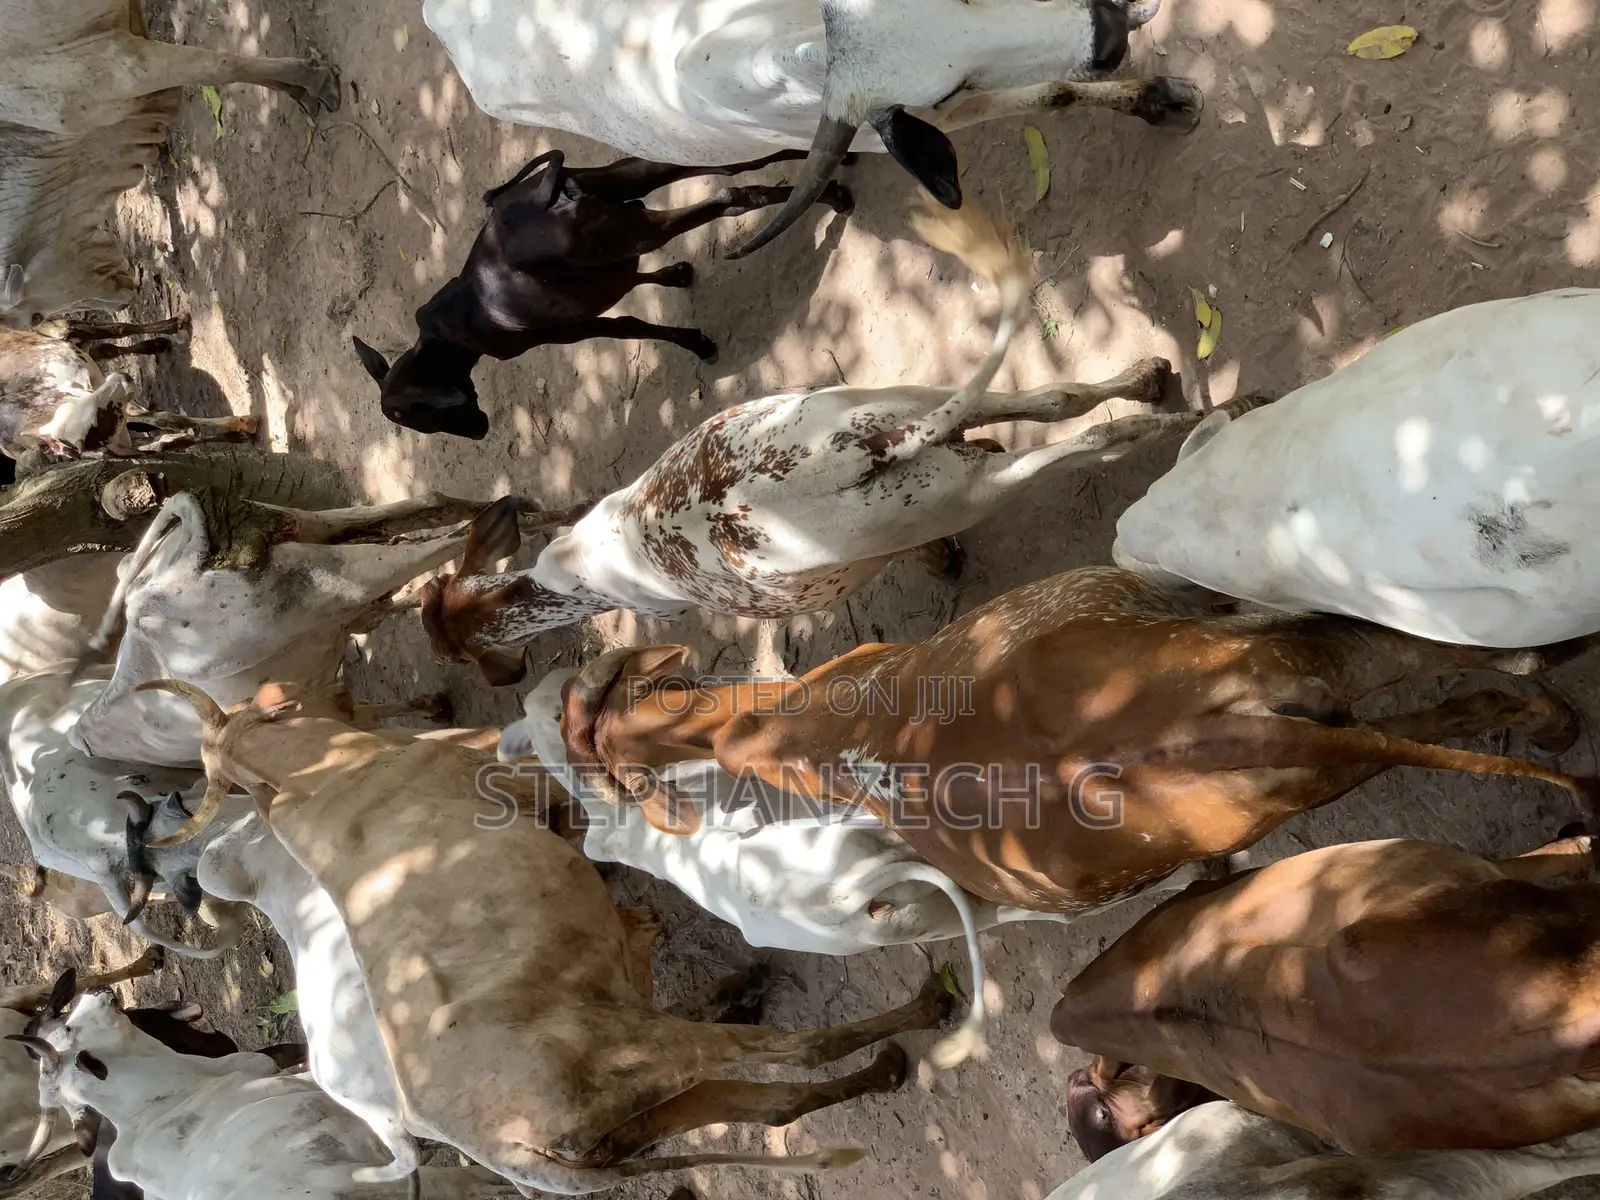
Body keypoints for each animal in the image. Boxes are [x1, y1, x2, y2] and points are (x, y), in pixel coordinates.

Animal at [1, 0, 340, 329]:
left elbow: (225, 67)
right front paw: (299, 91)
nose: (121, 303)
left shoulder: (126, 65)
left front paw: (315, 80)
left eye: (35, 318)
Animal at [144, 678, 962, 1194]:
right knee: (796, 1052)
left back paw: (874, 1062)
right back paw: (920, 1011)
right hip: (648, 1052)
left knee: (773, 1105)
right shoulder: (519, 785)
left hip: (638, 1111)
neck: (325, 779)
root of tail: (499, 1147)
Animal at [352, 149, 854, 440]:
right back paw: (835, 171)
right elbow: (634, 283)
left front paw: (697, 343)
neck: (450, 336)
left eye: (417, 420)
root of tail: (541, 195)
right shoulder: (600, 278)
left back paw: (833, 196)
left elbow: (632, 324)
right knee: (733, 163)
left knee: (730, 196)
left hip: (640, 229)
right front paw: (676, 275)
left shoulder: (570, 330)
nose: (478, 432)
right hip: (636, 180)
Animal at [421, 195, 1218, 684]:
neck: (574, 573)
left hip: (958, 489)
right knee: (1058, 400)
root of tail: (846, 458)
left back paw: (1189, 424)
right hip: (906, 406)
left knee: (1092, 442)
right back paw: (1153, 381)